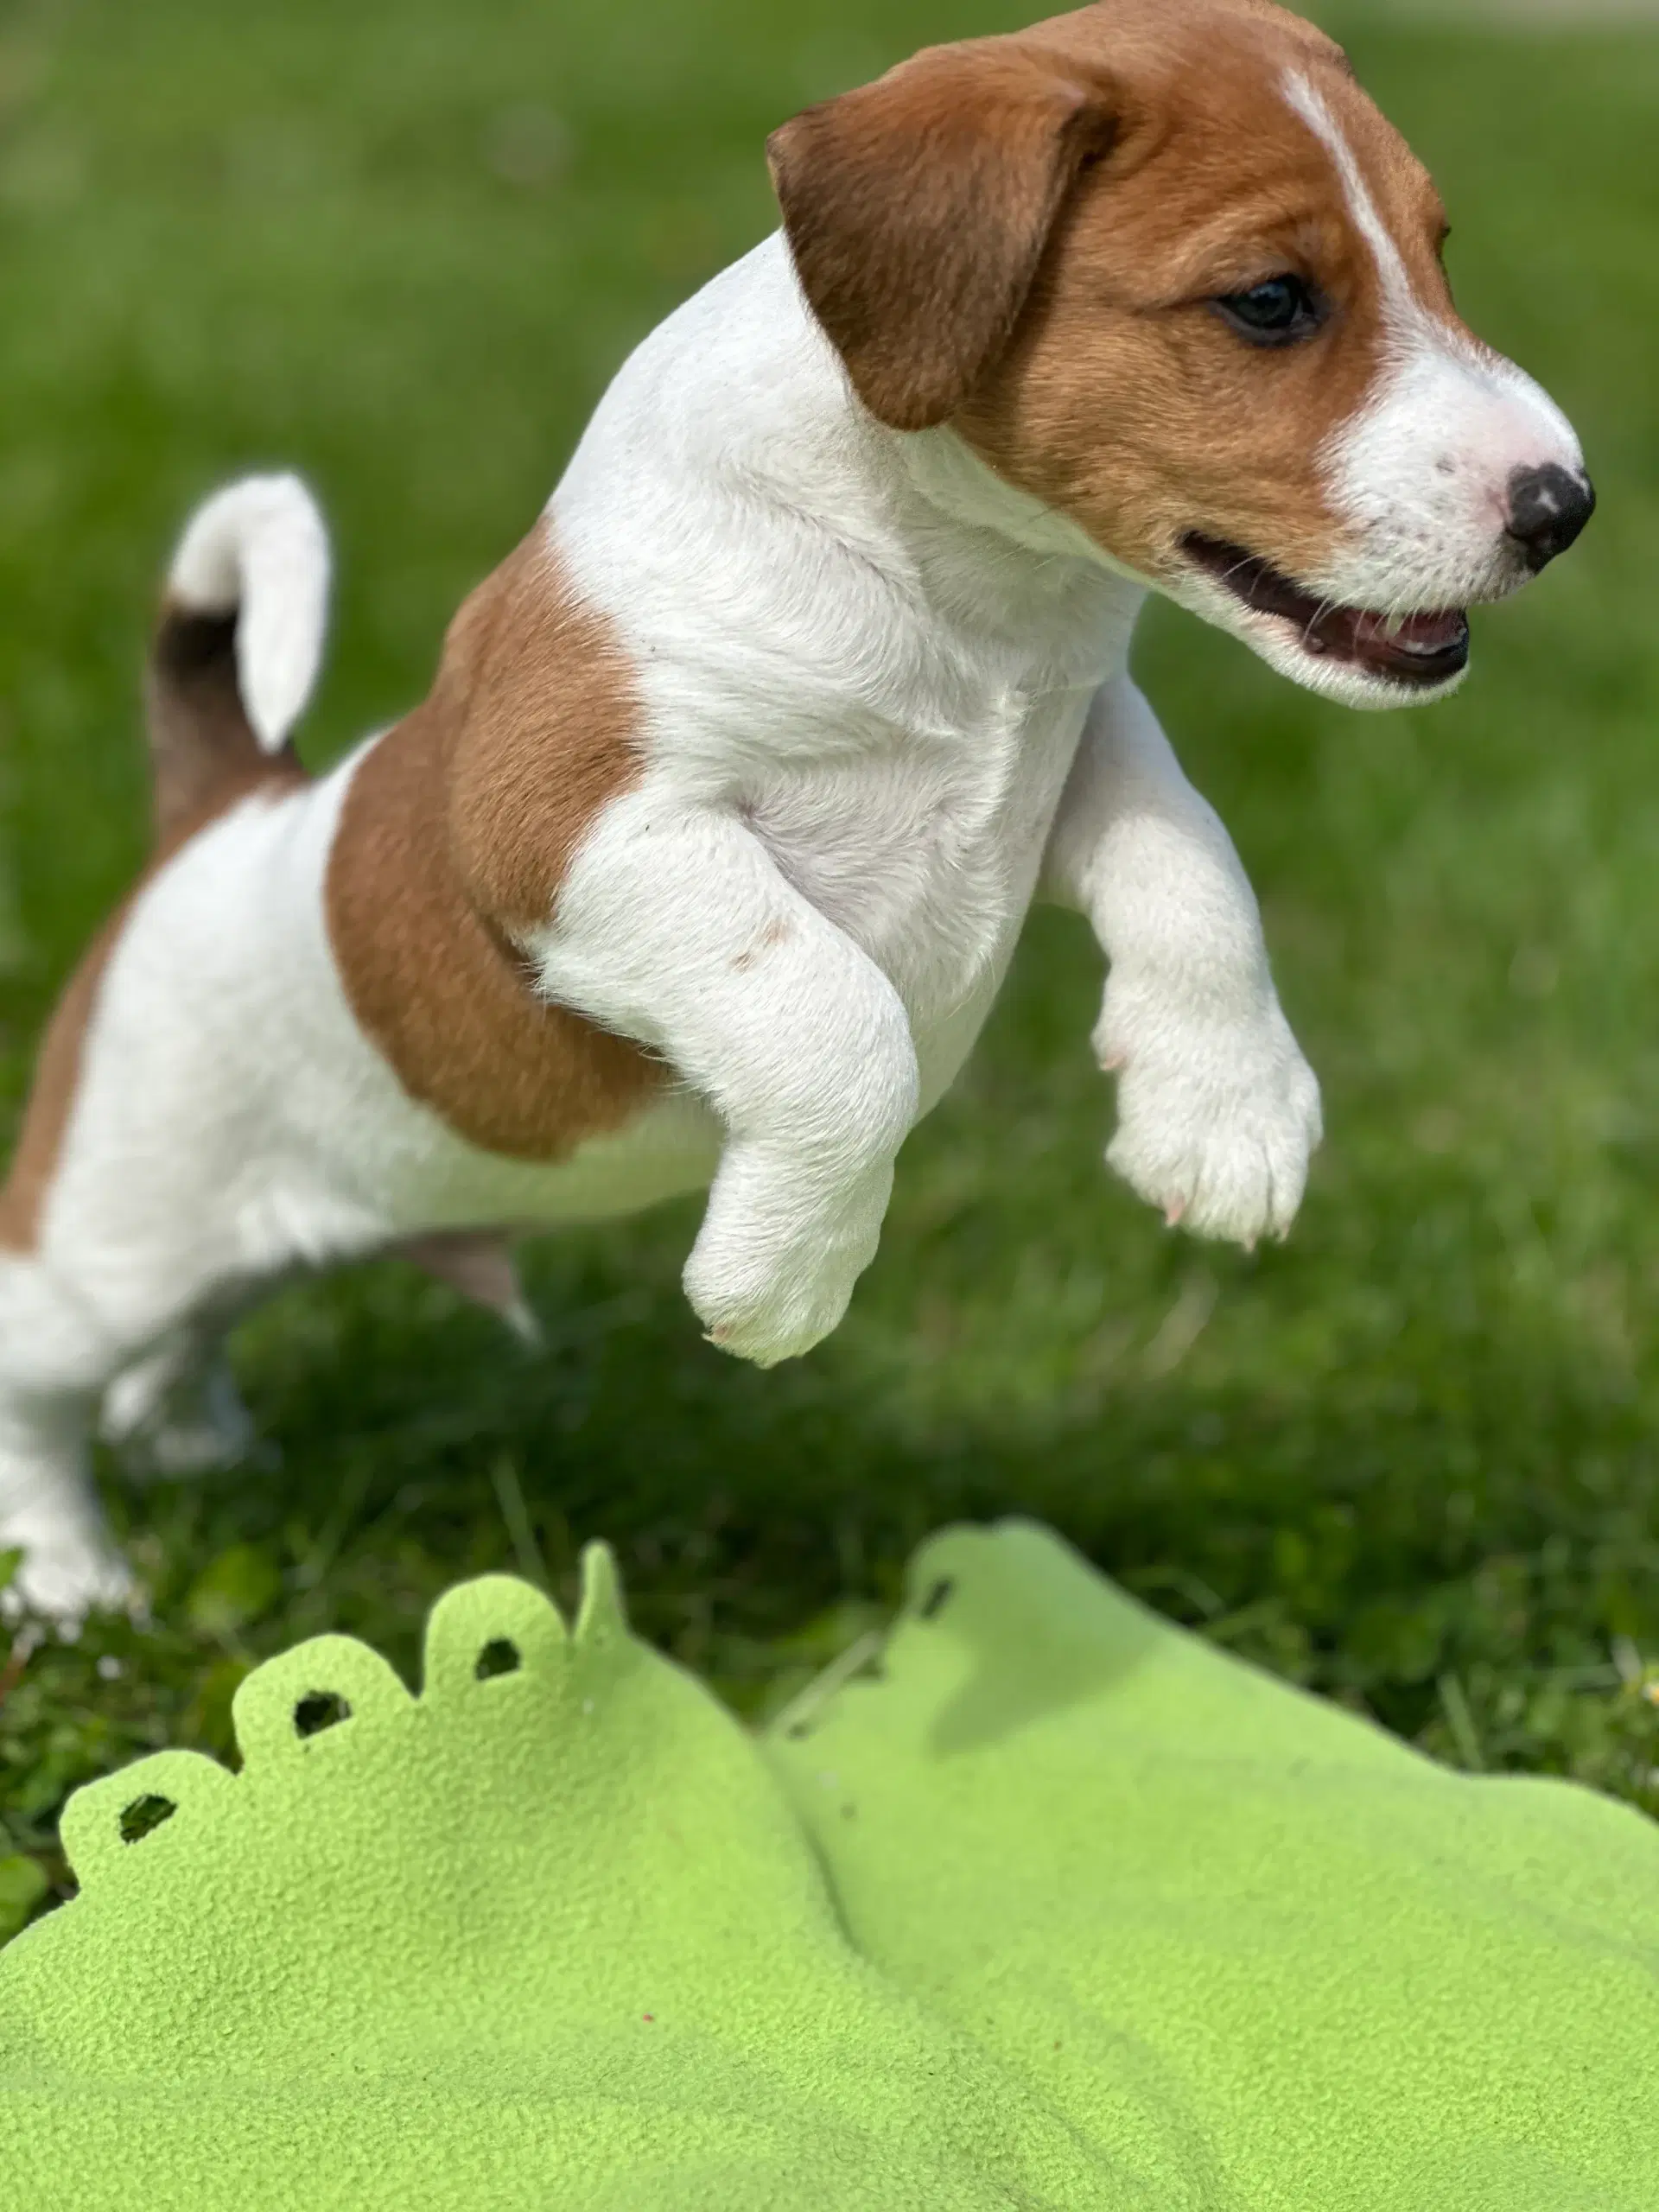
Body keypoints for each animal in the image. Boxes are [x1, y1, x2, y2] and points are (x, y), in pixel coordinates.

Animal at [0, 0, 1601, 1628]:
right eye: (1271, 302)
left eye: (1438, 250)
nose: (1564, 507)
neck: (969, 597)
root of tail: (217, 815)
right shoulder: (574, 821)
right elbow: (832, 1015)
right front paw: (782, 1276)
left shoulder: (1094, 745)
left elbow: (1196, 876)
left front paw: (1226, 1116)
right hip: (113, 1241)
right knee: (40, 1379)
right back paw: (69, 1580)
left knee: (179, 1346)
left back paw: (195, 1439)